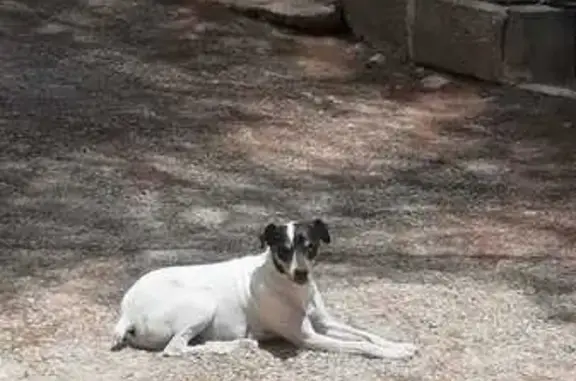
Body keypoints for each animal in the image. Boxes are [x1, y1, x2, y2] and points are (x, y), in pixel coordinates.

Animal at [110, 218, 416, 358]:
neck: (291, 288)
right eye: (283, 250)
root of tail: (126, 312)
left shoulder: (324, 323)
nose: (301, 272)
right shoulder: (307, 337)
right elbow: (360, 345)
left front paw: (399, 344)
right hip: (202, 303)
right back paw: (237, 344)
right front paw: (395, 353)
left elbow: (367, 335)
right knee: (175, 348)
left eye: (311, 247)